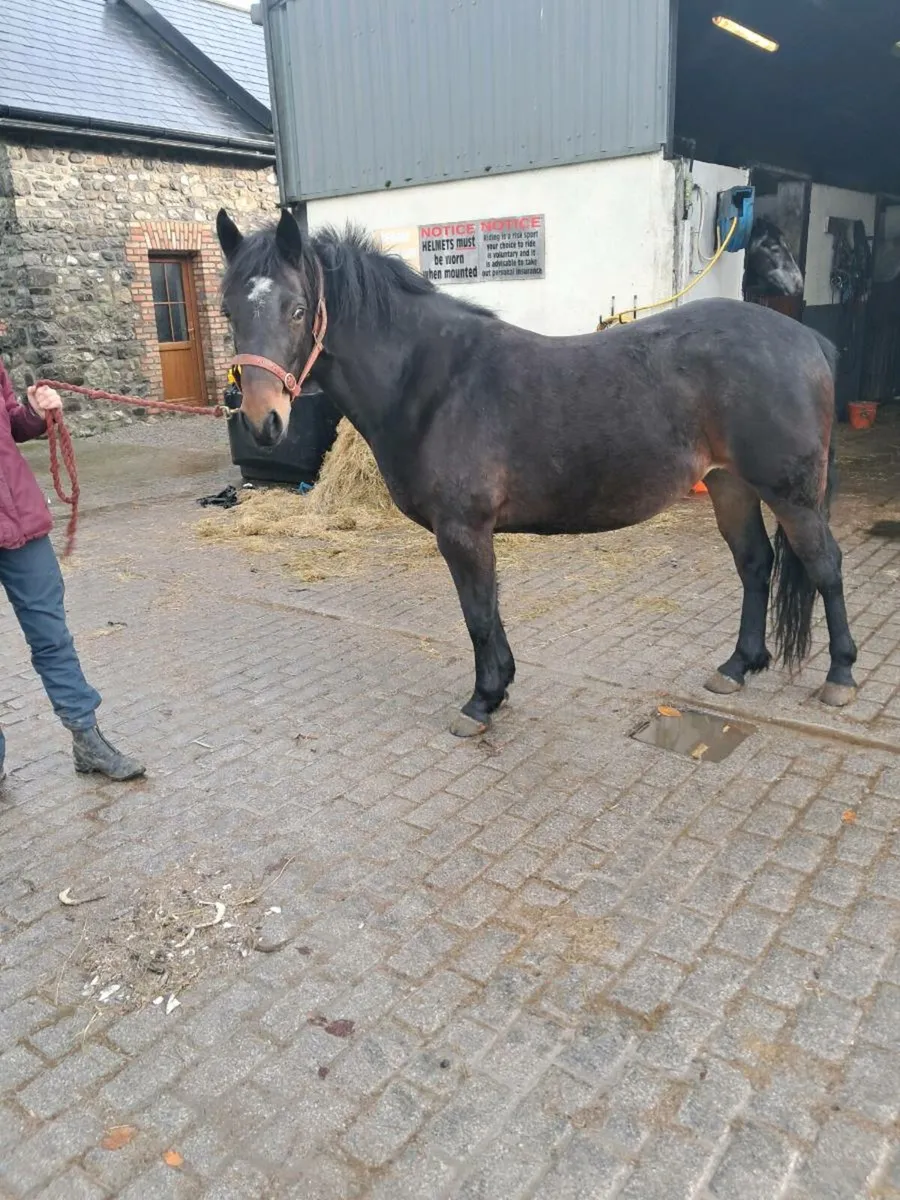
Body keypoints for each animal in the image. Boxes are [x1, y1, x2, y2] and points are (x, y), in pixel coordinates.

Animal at [216, 207, 858, 737]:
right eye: (229, 312)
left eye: (298, 309)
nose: (263, 420)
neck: (433, 380)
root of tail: (810, 341)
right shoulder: (473, 533)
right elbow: (488, 610)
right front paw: (499, 687)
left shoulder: (463, 530)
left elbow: (477, 614)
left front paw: (481, 701)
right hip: (731, 485)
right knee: (756, 564)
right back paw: (738, 666)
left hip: (792, 495)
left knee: (824, 567)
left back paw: (841, 678)